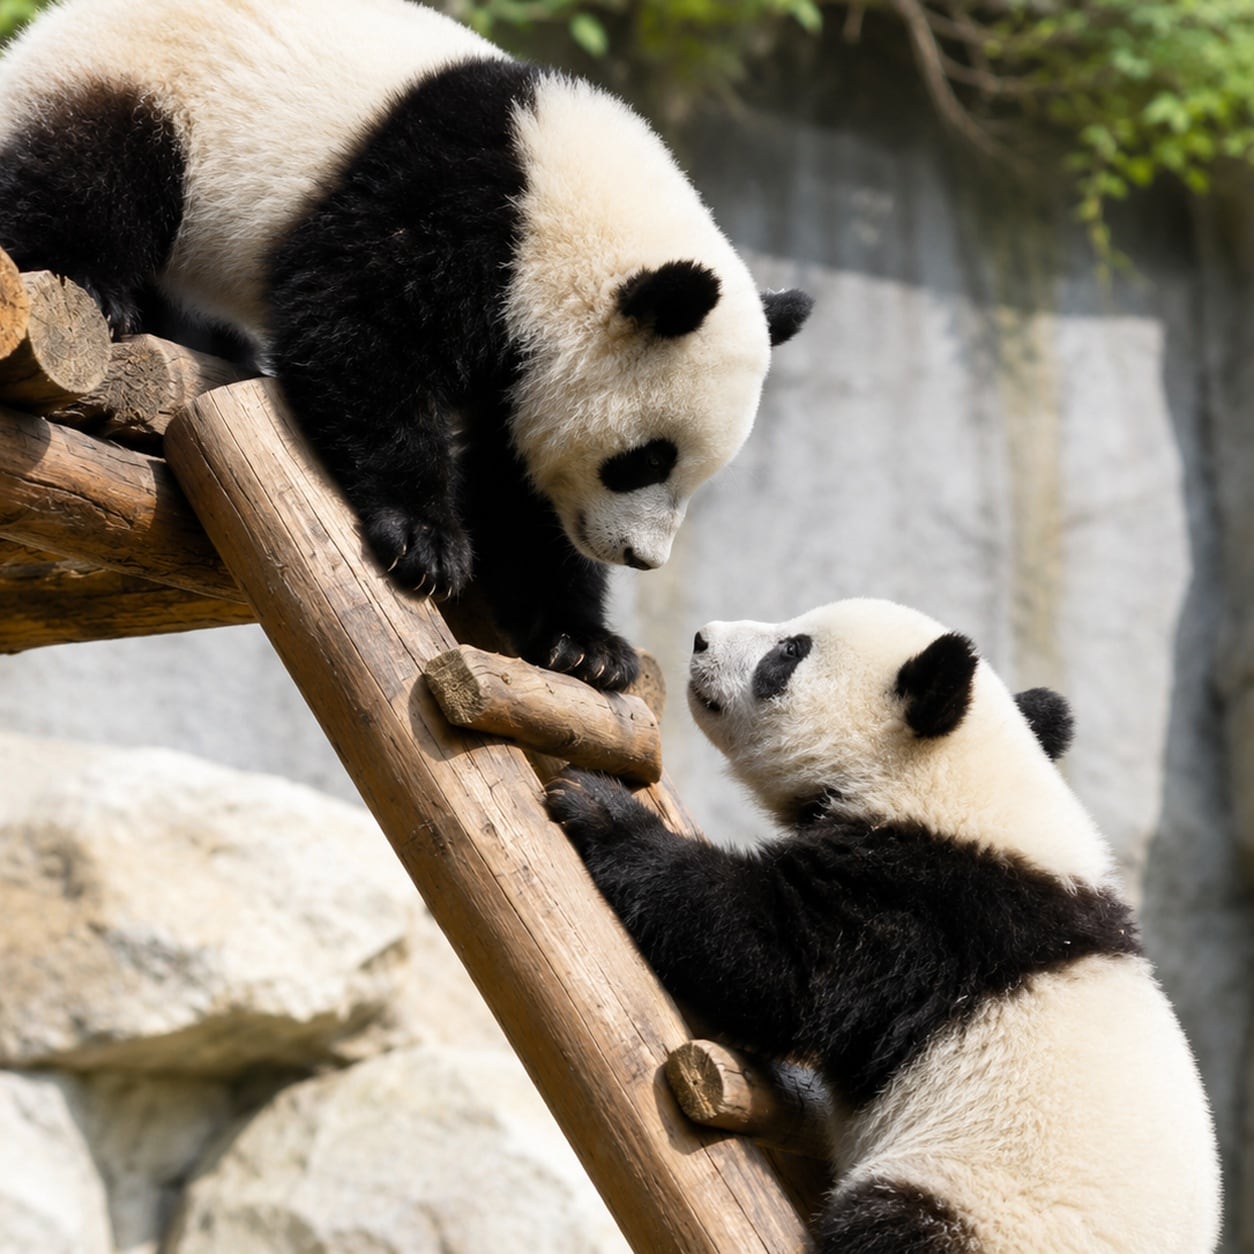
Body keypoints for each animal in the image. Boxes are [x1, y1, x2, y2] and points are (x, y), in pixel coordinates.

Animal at [0, 0, 811, 691]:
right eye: (645, 460)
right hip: (133, 82)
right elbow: (358, 327)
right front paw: (426, 540)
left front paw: (586, 644)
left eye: (694, 474)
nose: (642, 557)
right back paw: (101, 287)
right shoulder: (449, 198)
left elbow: (518, 484)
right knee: (91, 170)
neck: (566, 206)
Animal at [545, 598, 1221, 1251]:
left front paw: (600, 808)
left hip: (973, 1204)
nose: (702, 638)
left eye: (790, 652)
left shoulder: (930, 911)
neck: (953, 777)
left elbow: (778, 963)